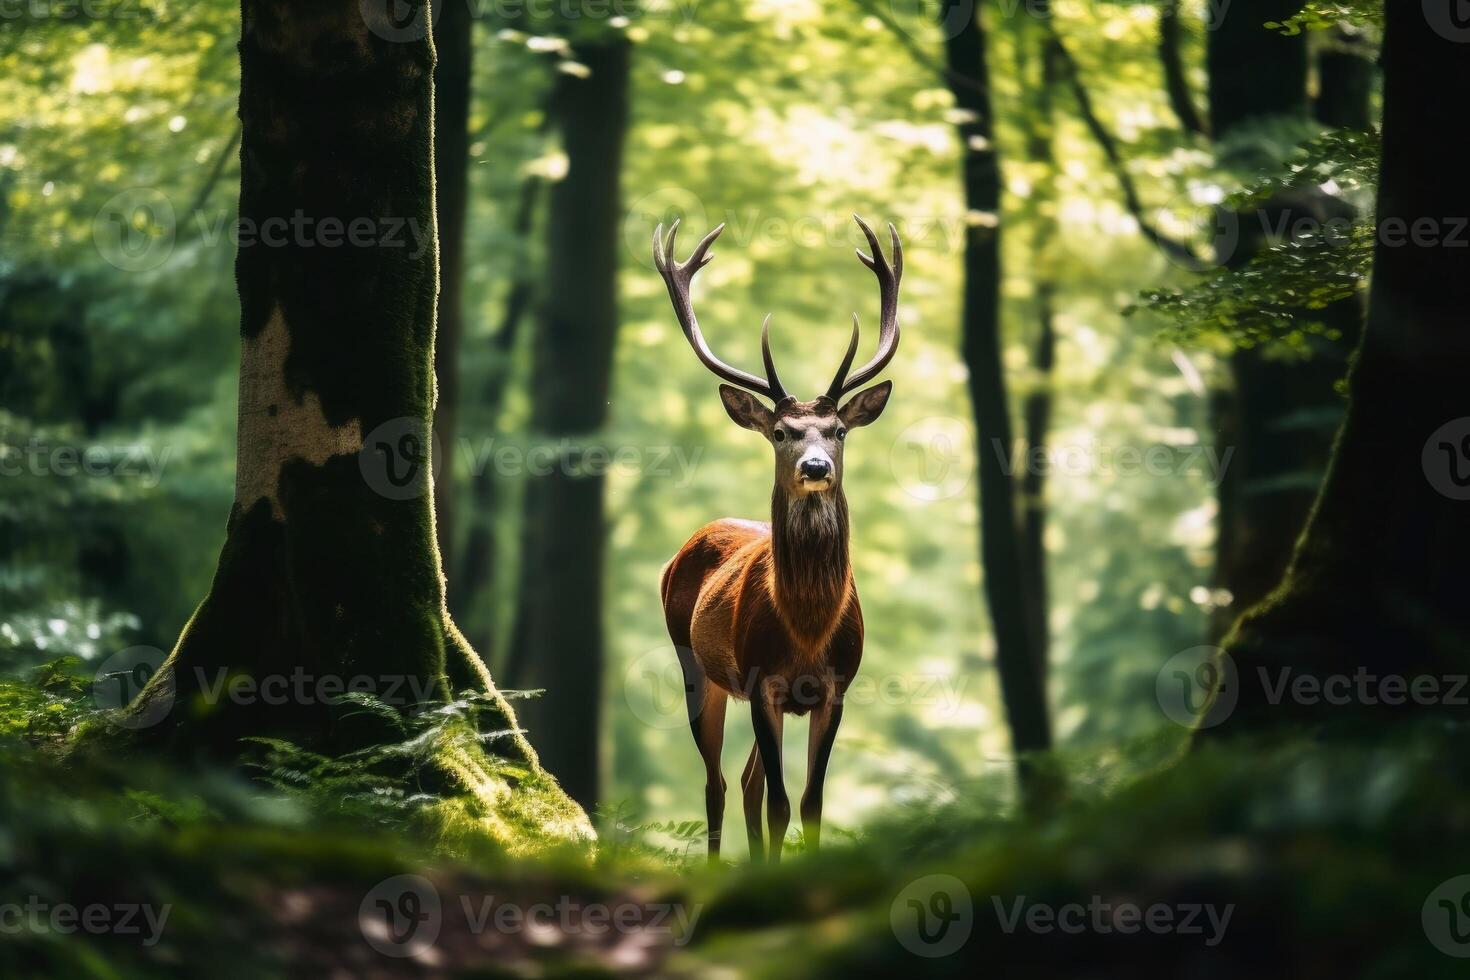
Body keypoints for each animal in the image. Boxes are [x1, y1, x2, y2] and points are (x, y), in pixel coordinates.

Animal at [661, 211, 899, 863]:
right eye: (780, 432)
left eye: (839, 429)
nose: (815, 467)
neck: (807, 631)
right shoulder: (760, 678)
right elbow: (780, 803)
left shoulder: (837, 686)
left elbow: (810, 802)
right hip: (695, 662)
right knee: (718, 783)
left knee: (744, 782)